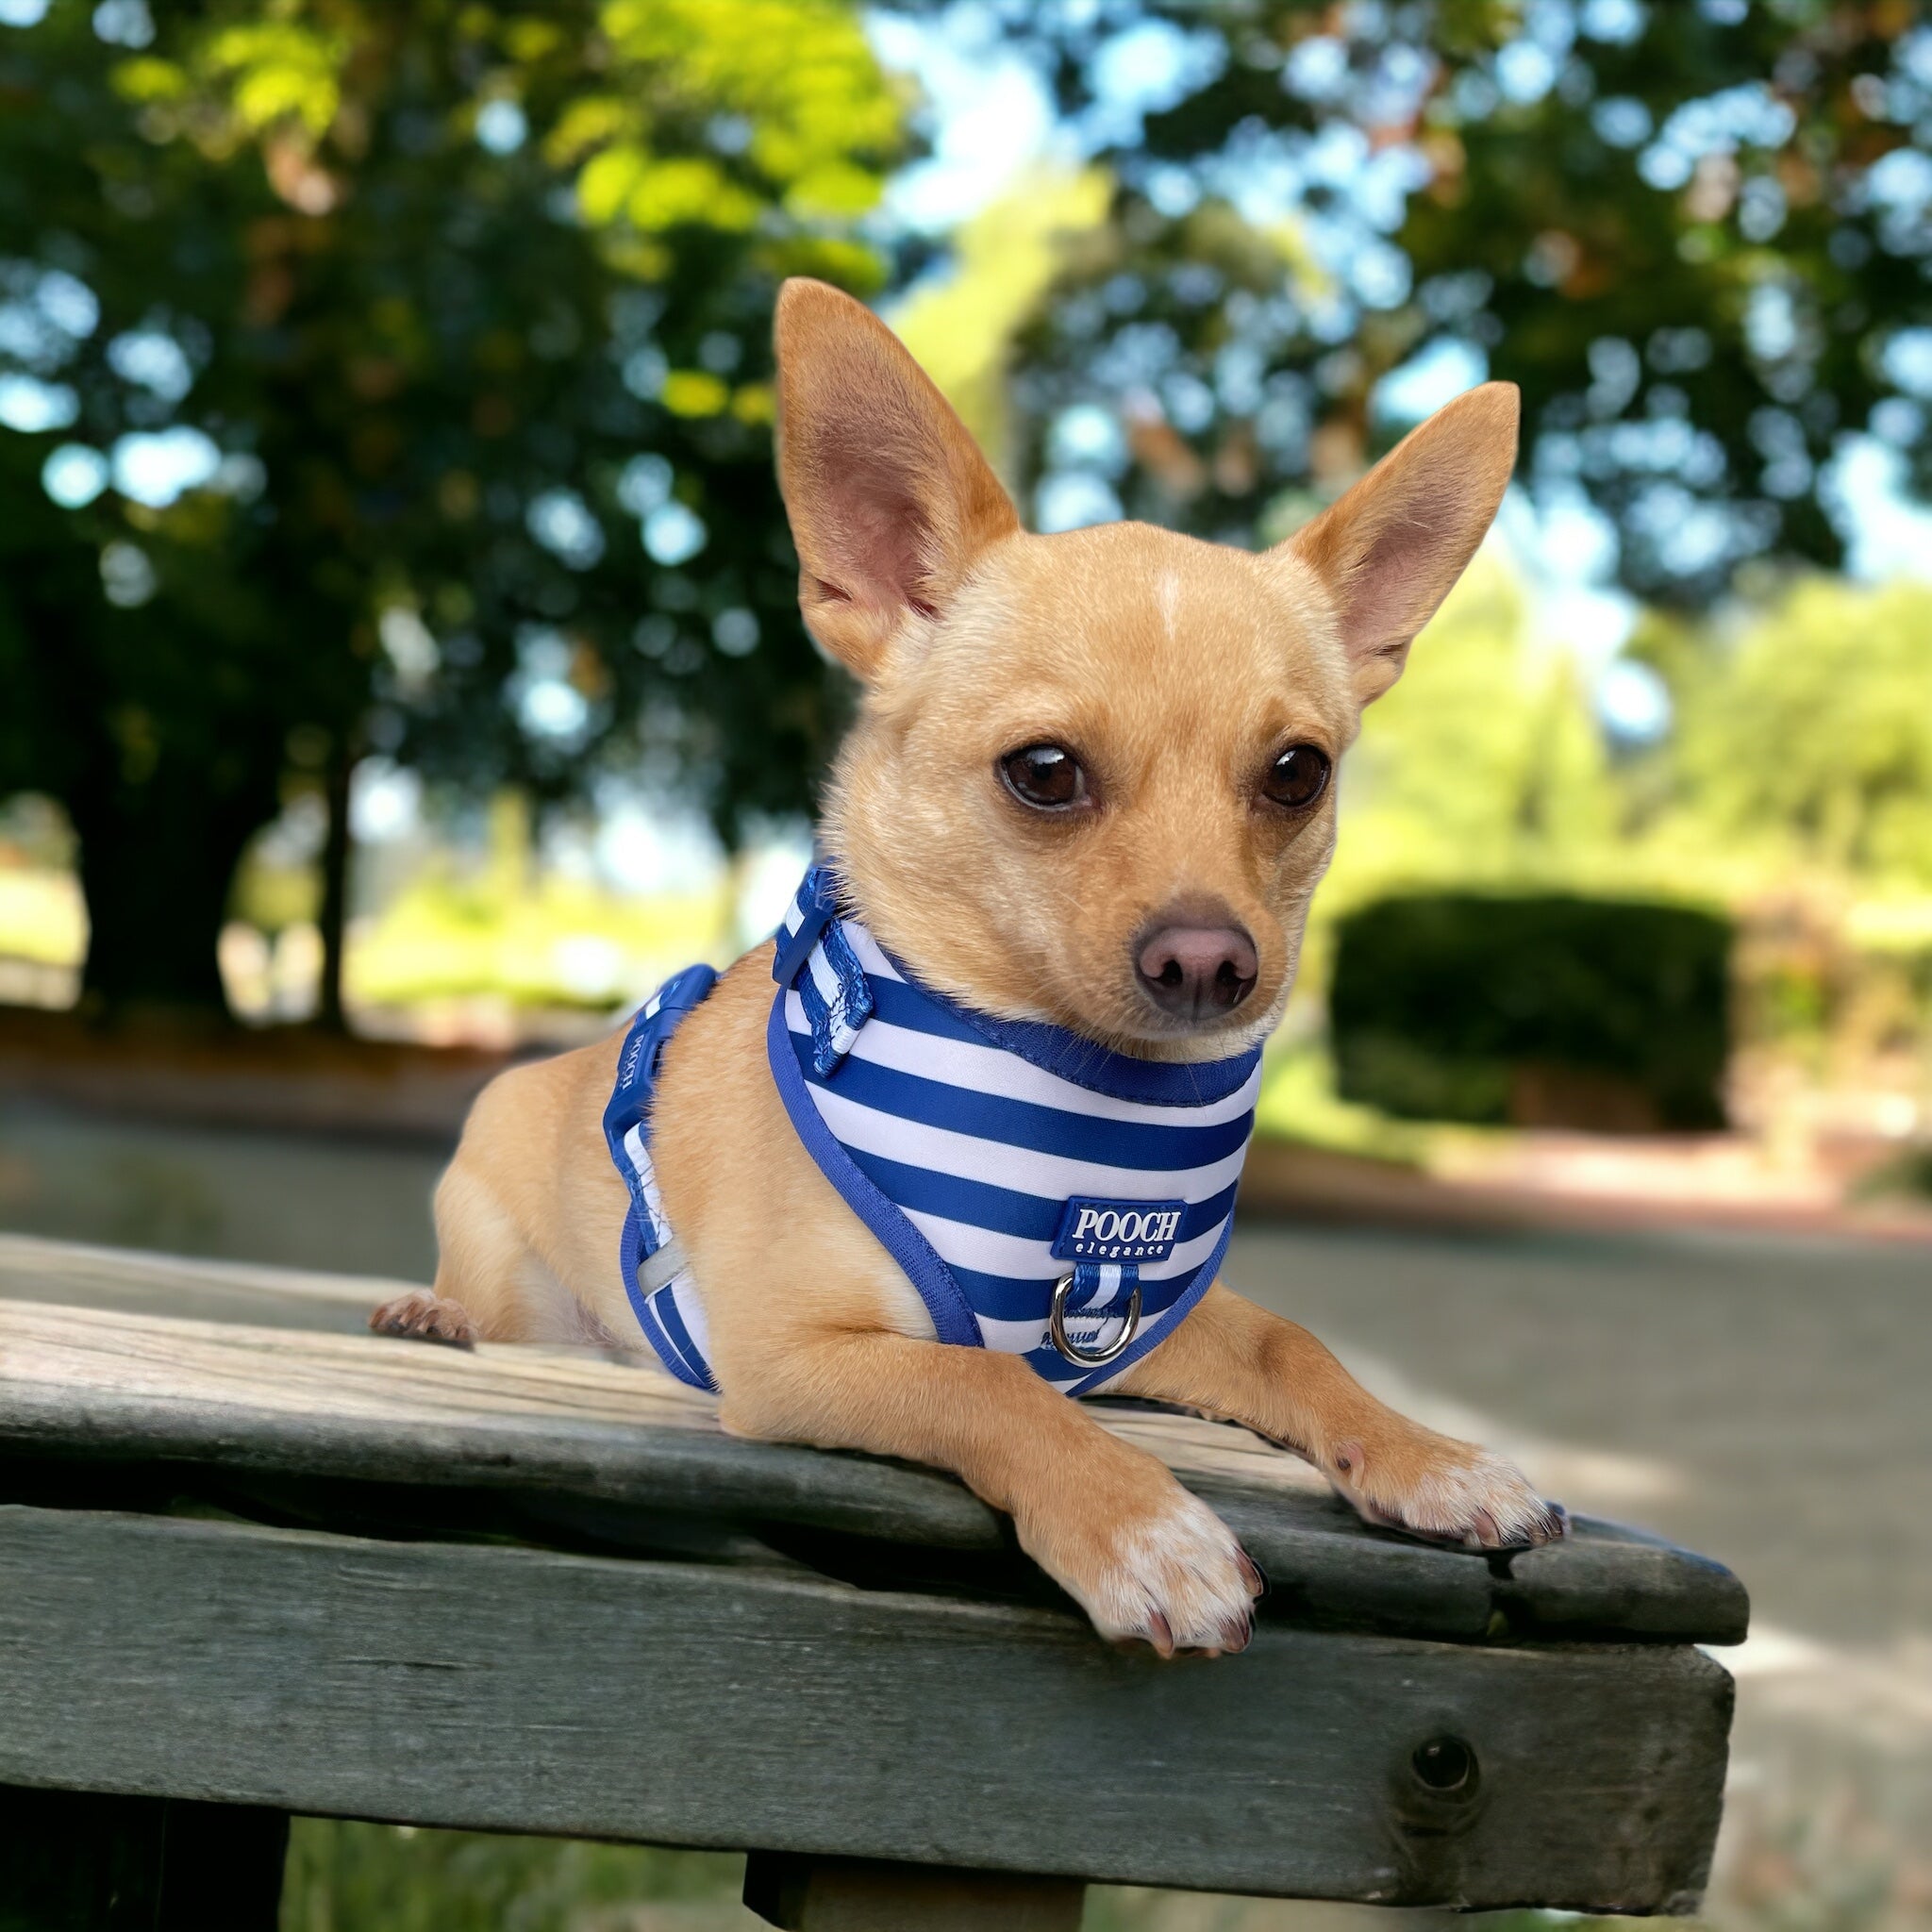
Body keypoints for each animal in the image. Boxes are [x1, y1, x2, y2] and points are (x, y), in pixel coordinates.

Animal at [376, 275, 1568, 1661]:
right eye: (1043, 772)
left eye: (1297, 774)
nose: (1211, 960)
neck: (1077, 1101)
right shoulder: (795, 1355)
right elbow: (984, 1378)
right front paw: (1141, 1525)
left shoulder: (1129, 1335)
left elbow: (1287, 1341)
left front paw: (1431, 1455)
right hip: (502, 1243)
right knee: (491, 1297)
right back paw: (432, 1311)